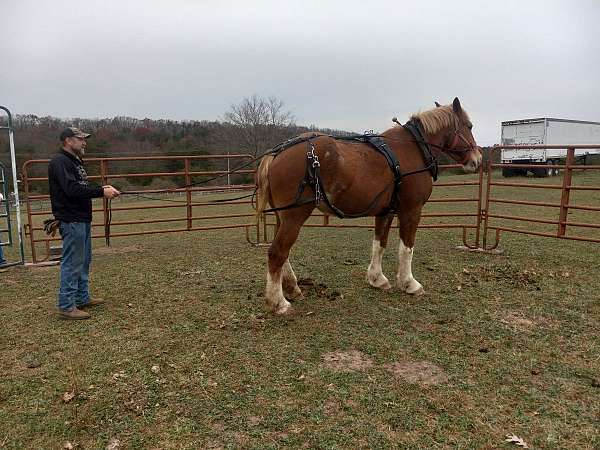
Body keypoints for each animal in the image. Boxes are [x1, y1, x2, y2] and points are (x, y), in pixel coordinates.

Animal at [255, 97, 480, 316]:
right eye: (469, 125)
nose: (477, 160)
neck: (413, 150)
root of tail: (277, 153)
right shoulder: (411, 210)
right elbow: (407, 248)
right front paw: (409, 283)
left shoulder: (385, 212)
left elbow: (379, 244)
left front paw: (376, 278)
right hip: (294, 216)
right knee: (277, 253)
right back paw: (278, 303)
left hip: (283, 217)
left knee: (283, 253)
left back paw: (292, 288)